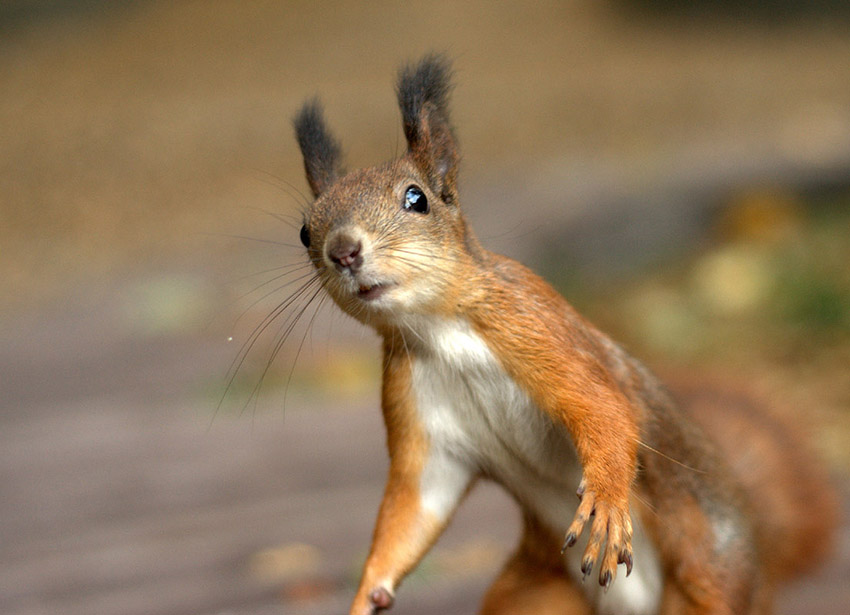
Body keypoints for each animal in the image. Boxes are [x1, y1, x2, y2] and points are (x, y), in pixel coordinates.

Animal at [292, 54, 836, 615]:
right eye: (305, 232)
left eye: (415, 199)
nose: (343, 251)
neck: (438, 332)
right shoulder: (421, 417)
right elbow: (414, 508)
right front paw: (367, 591)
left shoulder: (539, 328)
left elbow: (603, 407)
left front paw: (607, 503)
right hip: (537, 592)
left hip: (710, 580)